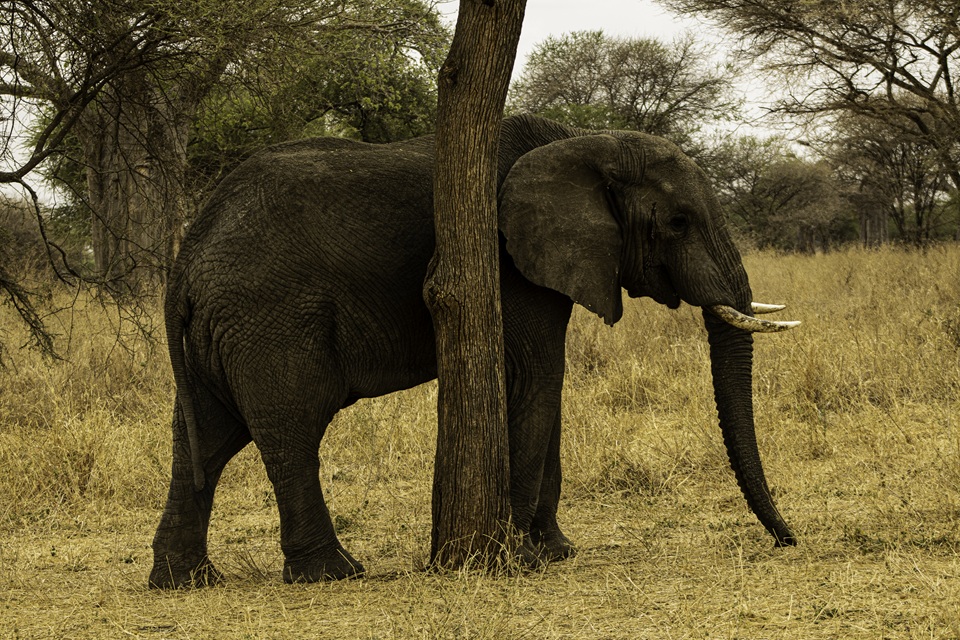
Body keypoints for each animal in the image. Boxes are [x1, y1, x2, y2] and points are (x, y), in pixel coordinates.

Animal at [149, 114, 799, 589]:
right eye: (679, 222)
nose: (787, 540)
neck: (586, 141)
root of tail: (186, 261)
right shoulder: (508, 261)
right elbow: (537, 376)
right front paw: (526, 560)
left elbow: (547, 389)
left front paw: (555, 551)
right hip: (269, 320)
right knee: (291, 431)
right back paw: (333, 574)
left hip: (220, 333)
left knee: (204, 439)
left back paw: (185, 581)